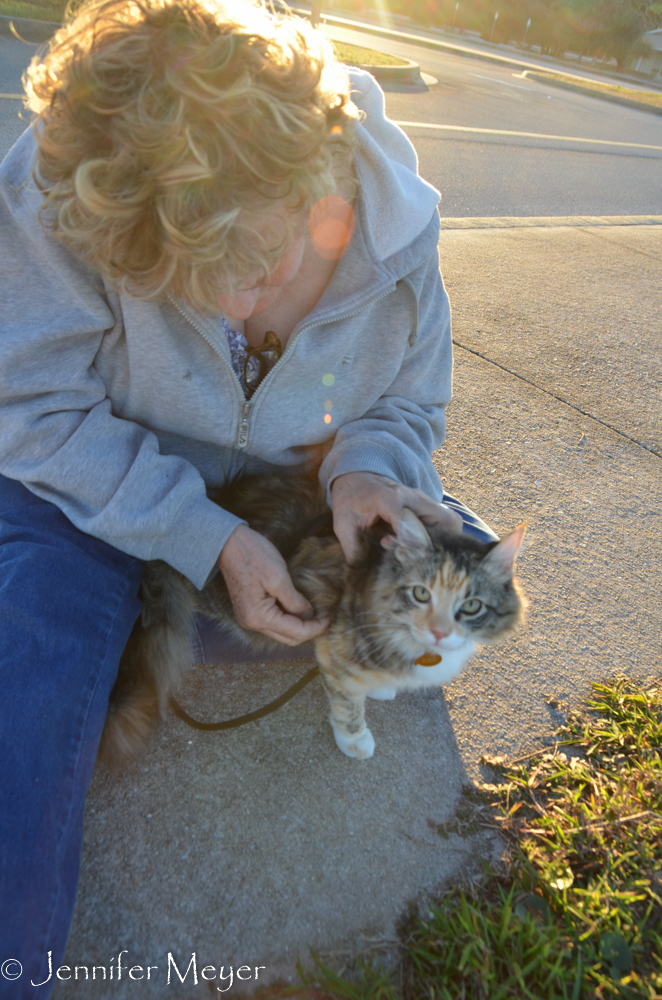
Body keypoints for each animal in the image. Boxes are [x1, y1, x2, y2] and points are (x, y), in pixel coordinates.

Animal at [102, 472, 528, 760]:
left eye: (471, 606)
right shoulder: (334, 648)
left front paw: (382, 686)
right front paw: (355, 738)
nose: (438, 632)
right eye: (421, 594)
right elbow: (347, 702)